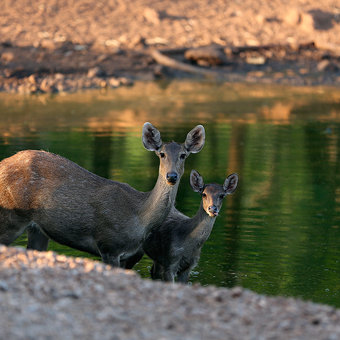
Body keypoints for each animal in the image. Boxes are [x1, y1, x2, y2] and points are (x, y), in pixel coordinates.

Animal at [0, 123, 205, 266]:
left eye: (183, 155)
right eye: (161, 154)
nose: (172, 176)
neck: (139, 218)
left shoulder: (132, 256)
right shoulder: (109, 245)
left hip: (38, 229)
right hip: (11, 217)